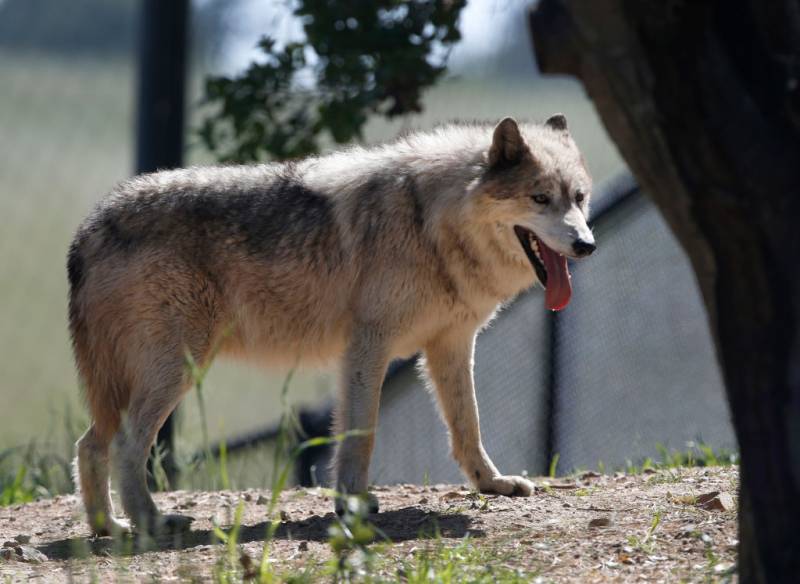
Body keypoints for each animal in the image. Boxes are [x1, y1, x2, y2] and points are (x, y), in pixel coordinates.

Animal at [69, 116, 592, 536]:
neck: (430, 222)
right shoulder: (368, 346)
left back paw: (107, 527)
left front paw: (492, 484)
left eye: (579, 198)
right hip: (177, 370)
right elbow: (362, 433)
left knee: (89, 445)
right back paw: (148, 522)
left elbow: (469, 426)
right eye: (540, 198)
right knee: (124, 446)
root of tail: (89, 227)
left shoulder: (452, 345)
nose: (586, 244)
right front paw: (352, 502)